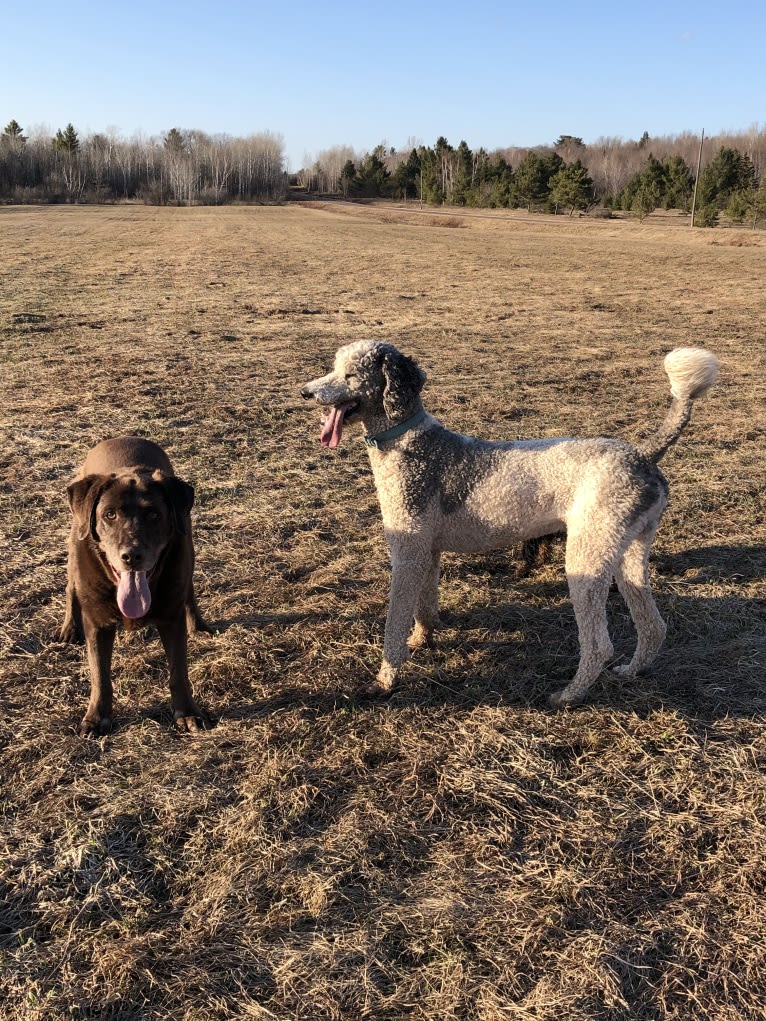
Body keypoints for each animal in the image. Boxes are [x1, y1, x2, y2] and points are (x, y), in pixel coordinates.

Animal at [60, 434, 211, 739]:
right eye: (109, 514)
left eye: (154, 515)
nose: (131, 555)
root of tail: (123, 437)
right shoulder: (98, 623)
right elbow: (100, 674)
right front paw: (97, 717)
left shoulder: (171, 618)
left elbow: (178, 671)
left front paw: (187, 713)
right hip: (73, 541)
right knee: (71, 587)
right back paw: (69, 627)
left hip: (188, 544)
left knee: (189, 588)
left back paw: (198, 624)